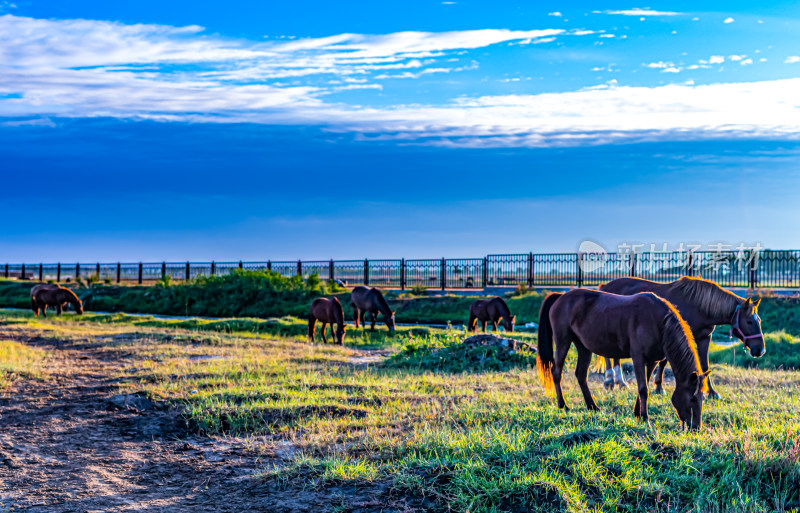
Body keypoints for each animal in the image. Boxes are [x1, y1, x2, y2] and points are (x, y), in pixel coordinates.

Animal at [540, 288, 708, 428]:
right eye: (693, 399)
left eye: (703, 398)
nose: (696, 427)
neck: (659, 322)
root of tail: (560, 296)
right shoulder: (638, 357)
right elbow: (643, 388)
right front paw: (645, 417)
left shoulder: (652, 361)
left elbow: (645, 385)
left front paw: (638, 413)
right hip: (563, 340)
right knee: (556, 372)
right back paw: (562, 405)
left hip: (583, 348)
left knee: (581, 375)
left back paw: (592, 406)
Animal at [600, 276, 764, 396]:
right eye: (749, 321)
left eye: (759, 320)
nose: (760, 350)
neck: (698, 306)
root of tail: (604, 287)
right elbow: (664, 362)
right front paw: (659, 387)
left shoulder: (704, 338)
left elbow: (704, 364)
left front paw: (711, 392)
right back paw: (611, 380)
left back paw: (618, 381)